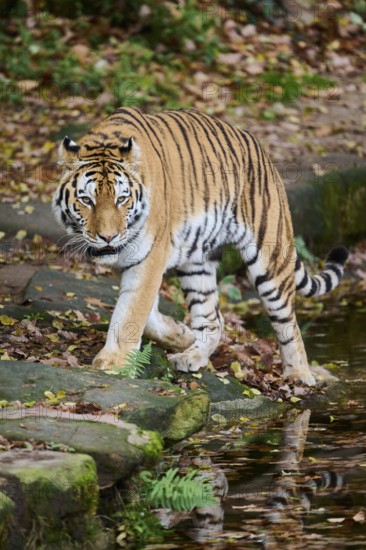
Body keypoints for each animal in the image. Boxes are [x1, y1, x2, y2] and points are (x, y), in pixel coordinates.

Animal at [52, 105, 348, 386]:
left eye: (121, 199)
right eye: (87, 200)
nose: (108, 237)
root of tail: (259, 148)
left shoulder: (149, 257)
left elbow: (132, 313)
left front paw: (114, 363)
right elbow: (145, 312)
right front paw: (181, 335)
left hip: (271, 259)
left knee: (289, 324)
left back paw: (298, 374)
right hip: (197, 263)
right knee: (214, 319)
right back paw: (191, 354)